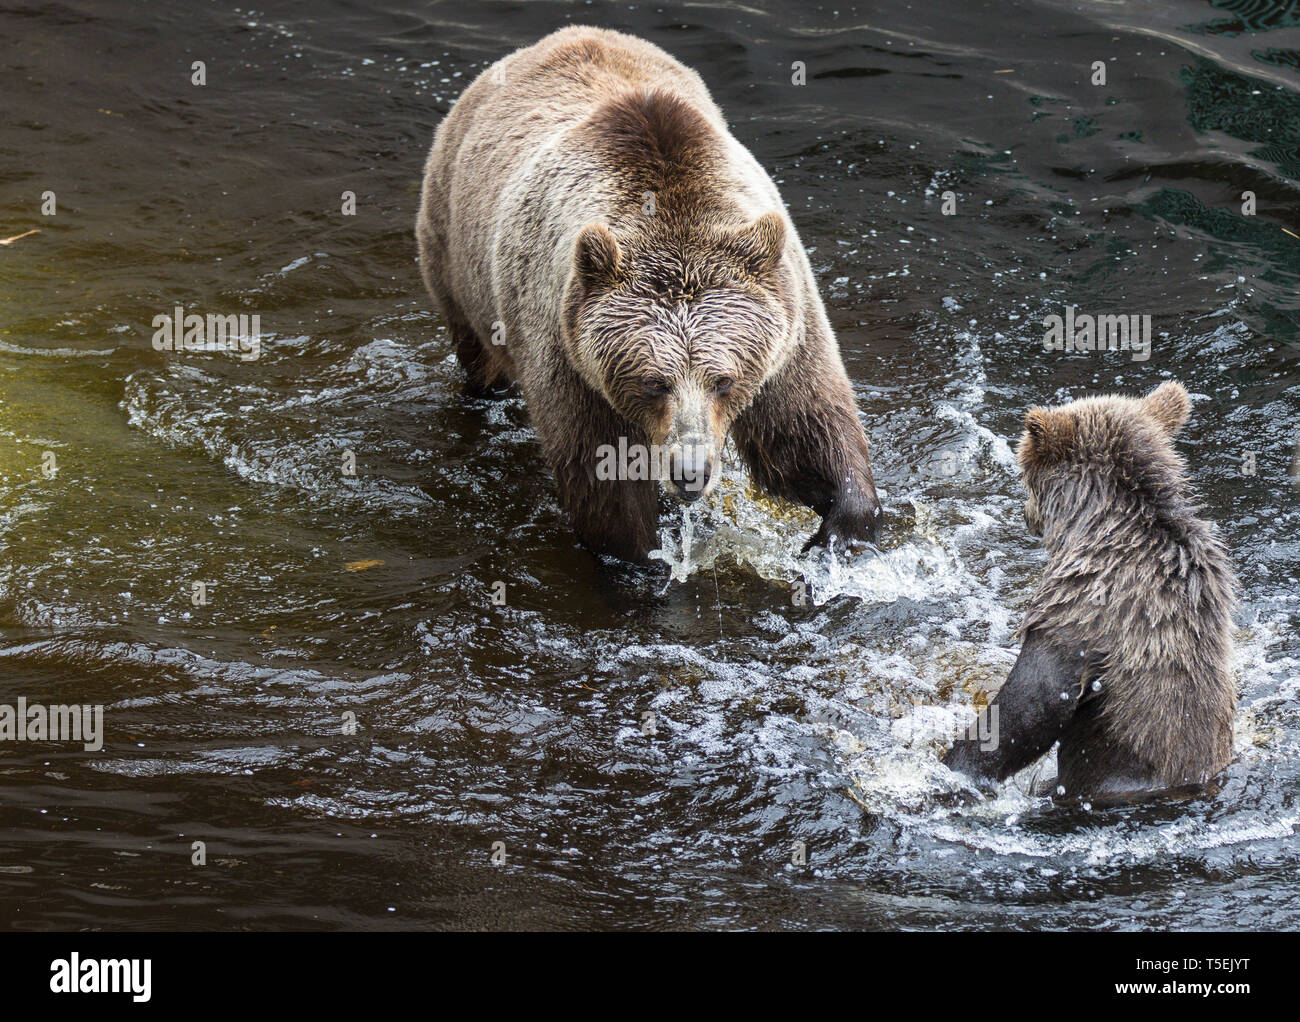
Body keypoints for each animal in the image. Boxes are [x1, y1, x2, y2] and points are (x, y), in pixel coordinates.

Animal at [416, 26, 881, 561]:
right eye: (654, 382)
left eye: (724, 380)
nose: (691, 472)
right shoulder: (569, 355)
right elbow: (603, 476)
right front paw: (640, 557)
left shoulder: (787, 328)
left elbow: (803, 427)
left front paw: (840, 529)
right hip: (454, 258)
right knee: (480, 358)